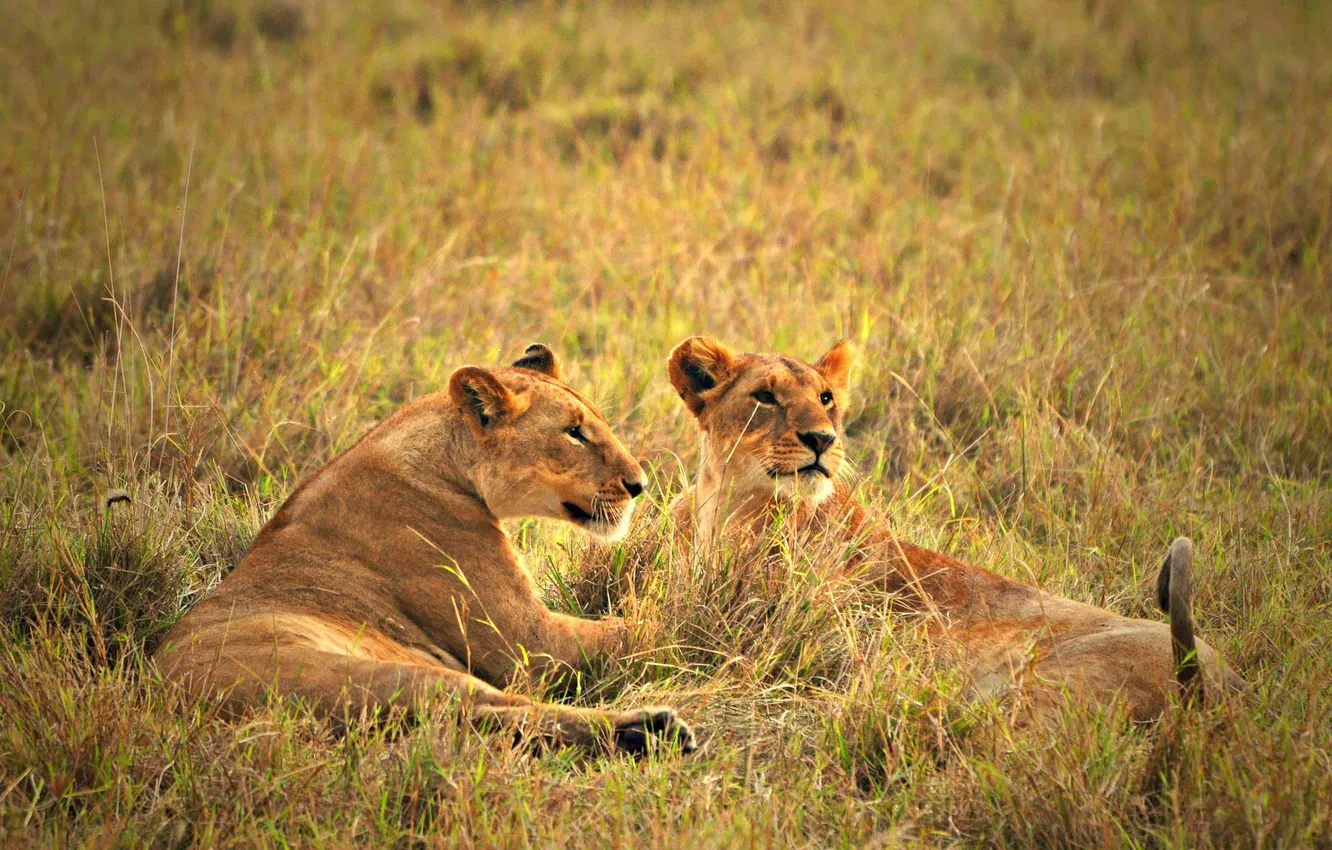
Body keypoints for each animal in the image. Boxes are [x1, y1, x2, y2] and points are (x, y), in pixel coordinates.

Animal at [155, 344, 696, 755]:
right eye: (574, 432)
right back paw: (651, 730)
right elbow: (642, 630)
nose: (640, 485)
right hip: (386, 675)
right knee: (493, 710)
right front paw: (708, 621)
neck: (447, 459)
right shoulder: (531, 642)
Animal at [667, 335, 1244, 722]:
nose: (822, 440)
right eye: (764, 397)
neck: (729, 504)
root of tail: (1221, 683)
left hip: (1047, 690)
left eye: (826, 398)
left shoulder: (766, 636)